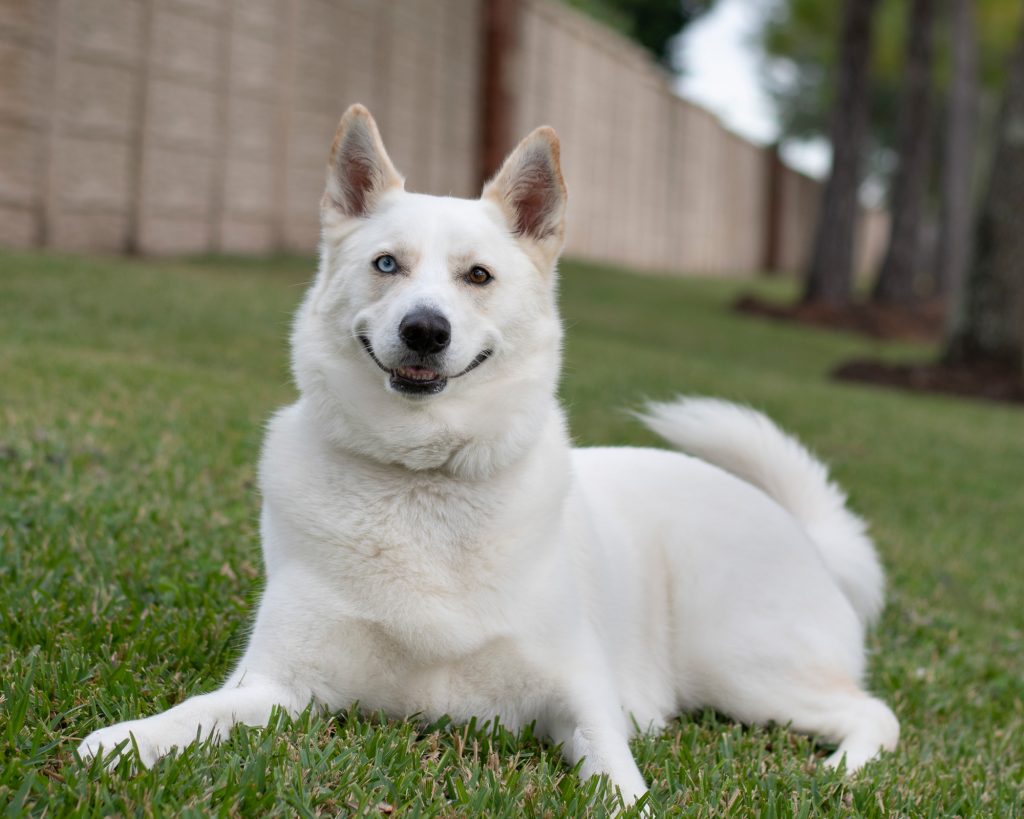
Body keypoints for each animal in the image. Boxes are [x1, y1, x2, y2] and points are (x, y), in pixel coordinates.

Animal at [79, 105, 897, 802]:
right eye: (386, 264)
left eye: (478, 276)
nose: (424, 330)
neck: (423, 479)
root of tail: (806, 536)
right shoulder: (277, 685)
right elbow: (200, 710)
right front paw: (129, 740)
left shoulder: (579, 693)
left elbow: (619, 778)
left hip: (744, 669)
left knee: (877, 714)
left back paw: (841, 770)